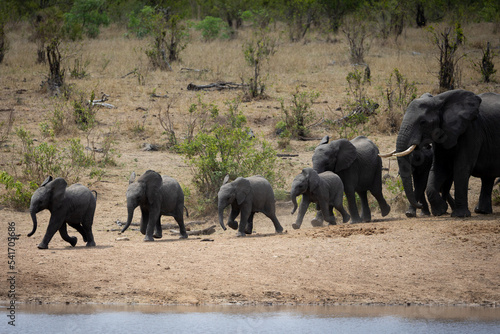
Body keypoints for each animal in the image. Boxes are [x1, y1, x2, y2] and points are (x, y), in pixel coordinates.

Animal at [394, 88, 500, 217]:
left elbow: (461, 168)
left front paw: (459, 215)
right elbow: (439, 168)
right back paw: (481, 211)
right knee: (488, 176)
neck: (438, 101)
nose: (418, 205)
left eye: (423, 122)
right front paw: (440, 210)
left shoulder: (471, 130)